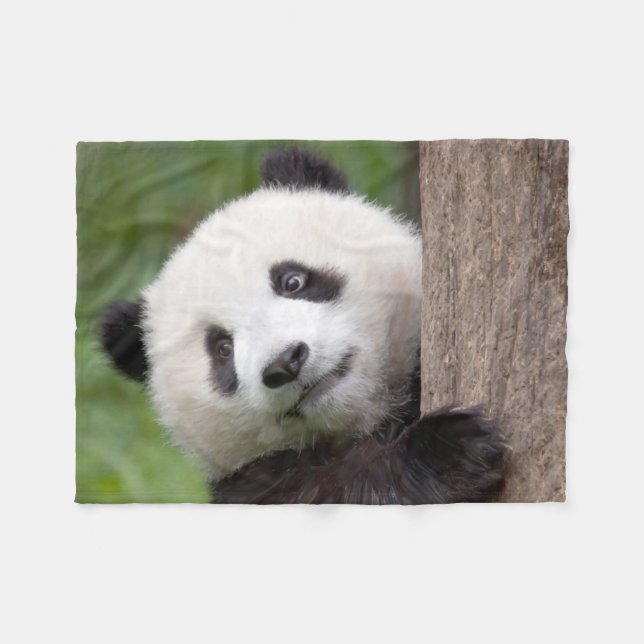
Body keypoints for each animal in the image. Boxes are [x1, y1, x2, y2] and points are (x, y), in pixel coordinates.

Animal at [100, 147, 506, 504]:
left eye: (292, 280)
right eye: (222, 349)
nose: (285, 362)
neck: (371, 415)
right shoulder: (257, 483)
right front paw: (450, 451)